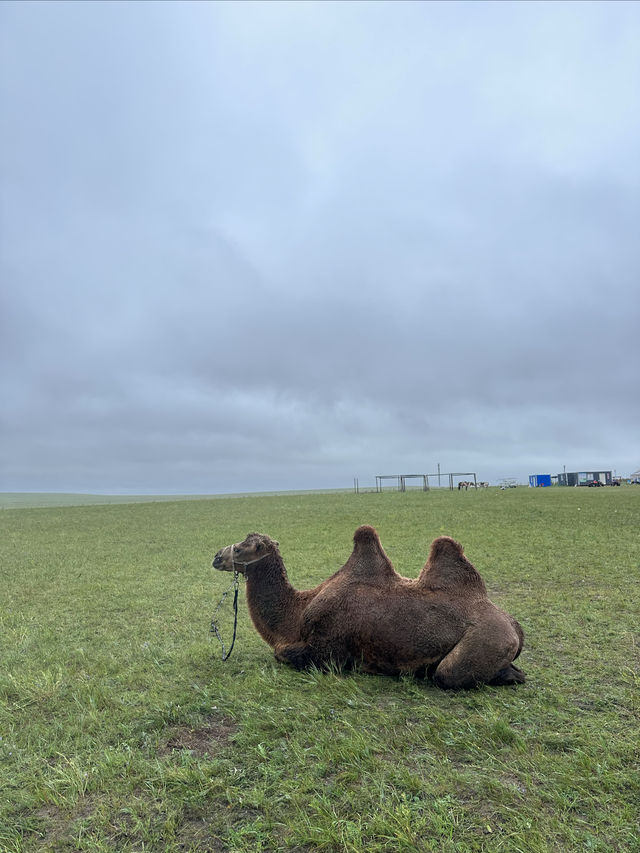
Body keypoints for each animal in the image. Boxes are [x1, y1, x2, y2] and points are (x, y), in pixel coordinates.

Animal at [212, 524, 524, 684]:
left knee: (447, 675)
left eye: (241, 548)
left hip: (485, 640)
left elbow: (283, 654)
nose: (216, 556)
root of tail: (514, 626)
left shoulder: (326, 649)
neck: (297, 614)